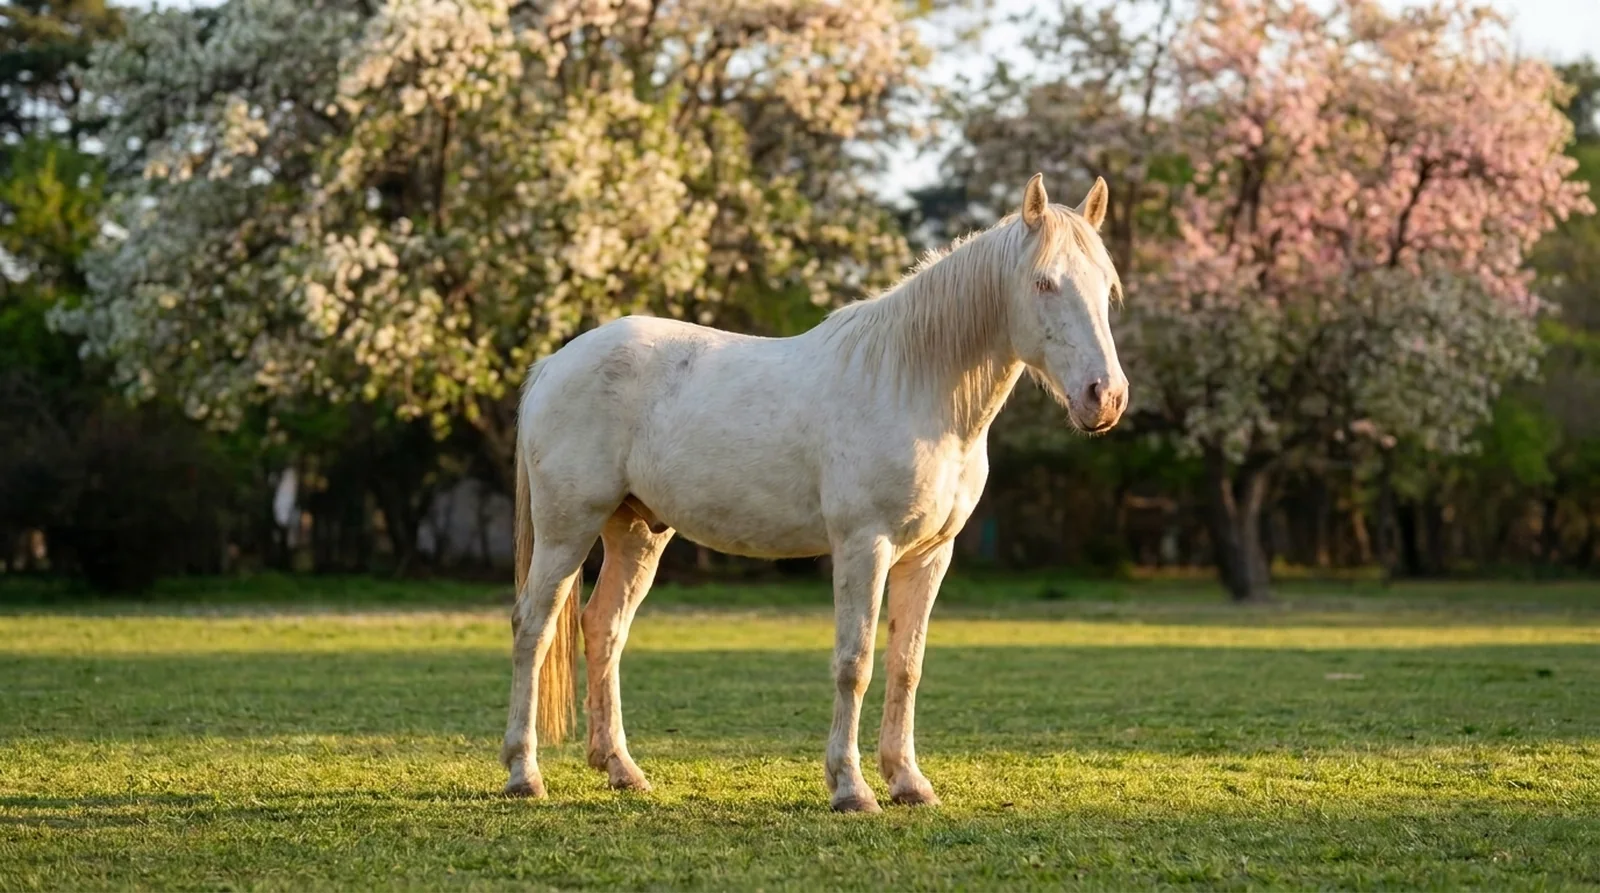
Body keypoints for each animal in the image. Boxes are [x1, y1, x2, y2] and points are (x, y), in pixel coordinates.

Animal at [501, 174, 1128, 812]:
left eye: (1107, 288)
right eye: (1044, 282)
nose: (1105, 397)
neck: (910, 384)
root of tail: (555, 362)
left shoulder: (931, 555)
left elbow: (907, 665)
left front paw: (908, 781)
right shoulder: (864, 546)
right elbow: (856, 662)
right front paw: (851, 787)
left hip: (636, 532)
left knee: (603, 628)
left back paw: (621, 768)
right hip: (567, 530)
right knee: (534, 626)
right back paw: (525, 773)